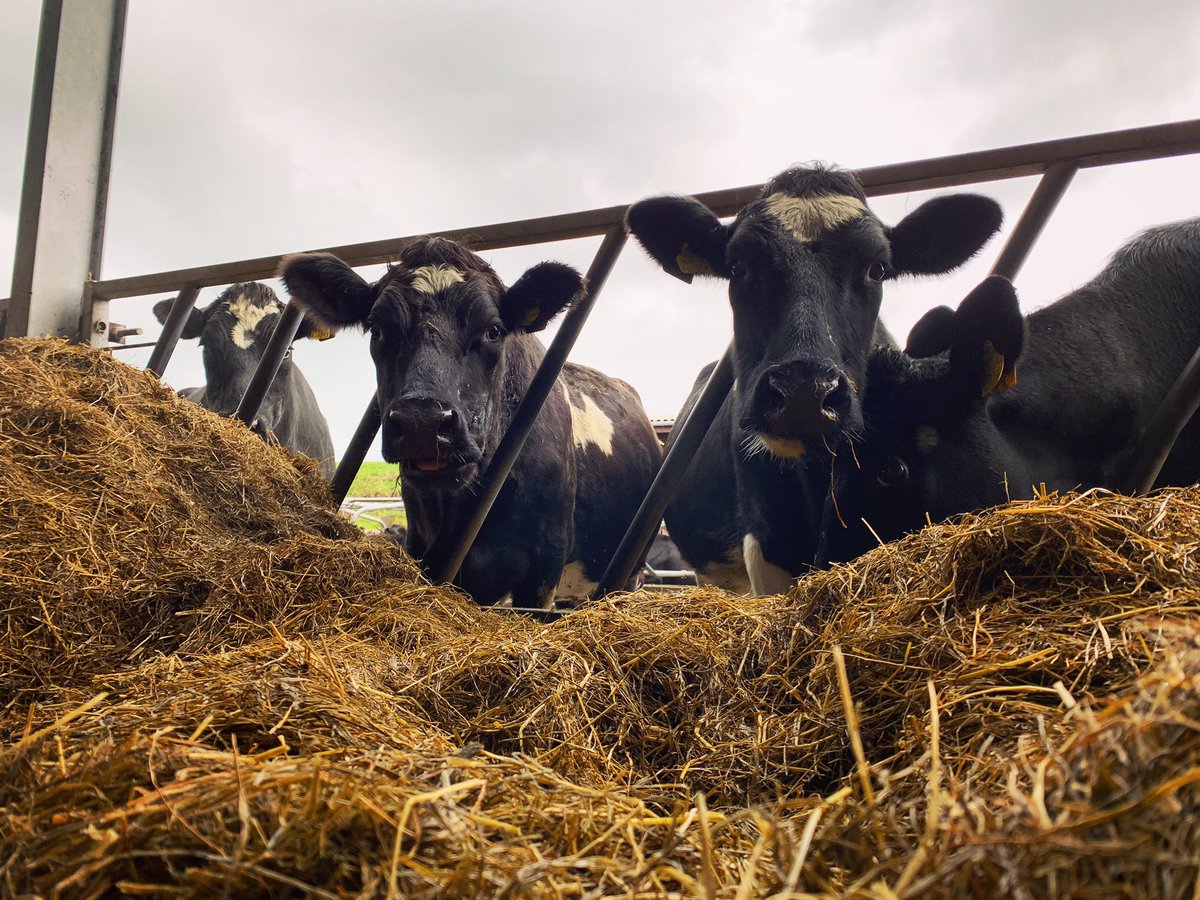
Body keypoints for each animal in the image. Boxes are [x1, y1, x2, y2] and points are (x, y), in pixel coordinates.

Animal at [279, 237, 662, 608]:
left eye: (494, 330)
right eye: (377, 329)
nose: (423, 421)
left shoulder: (545, 566)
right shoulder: (422, 545)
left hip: (629, 571)